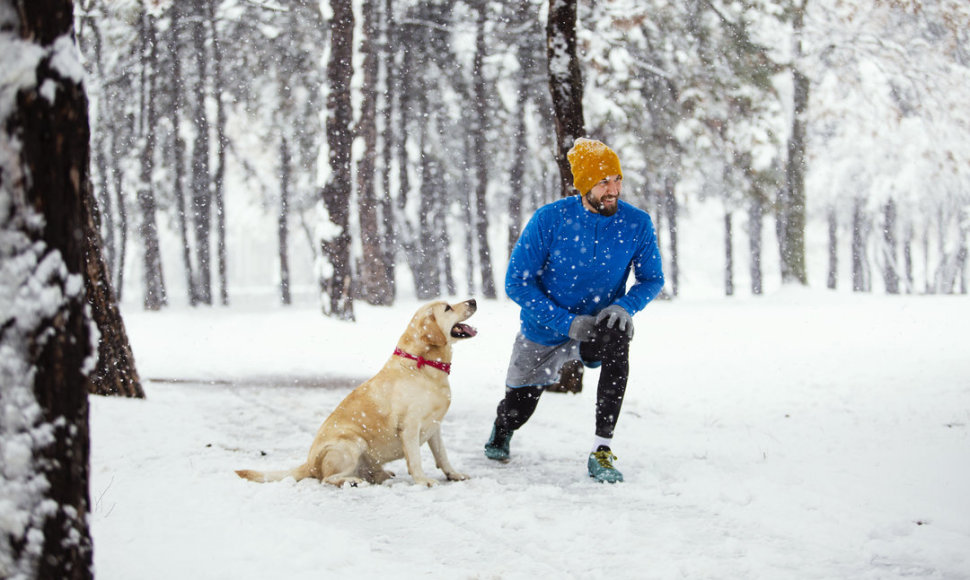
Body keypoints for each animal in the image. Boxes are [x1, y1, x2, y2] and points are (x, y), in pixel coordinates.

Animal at [235, 300, 476, 484]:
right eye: (447, 308)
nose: (473, 300)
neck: (424, 363)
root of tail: (309, 464)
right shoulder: (409, 426)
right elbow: (415, 459)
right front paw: (423, 481)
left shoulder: (435, 426)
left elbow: (442, 455)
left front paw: (454, 474)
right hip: (351, 444)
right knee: (327, 479)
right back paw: (352, 481)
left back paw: (380, 474)